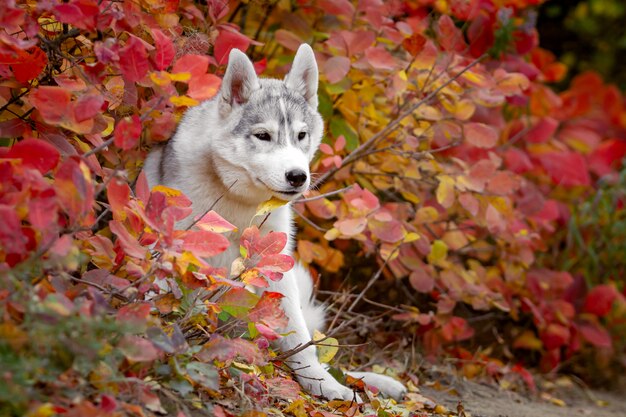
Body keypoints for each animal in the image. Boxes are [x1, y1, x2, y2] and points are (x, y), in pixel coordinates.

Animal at [143, 44, 404, 402]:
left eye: (301, 135)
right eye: (263, 136)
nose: (298, 176)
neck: (239, 203)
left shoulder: (278, 265)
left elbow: (300, 340)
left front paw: (322, 384)